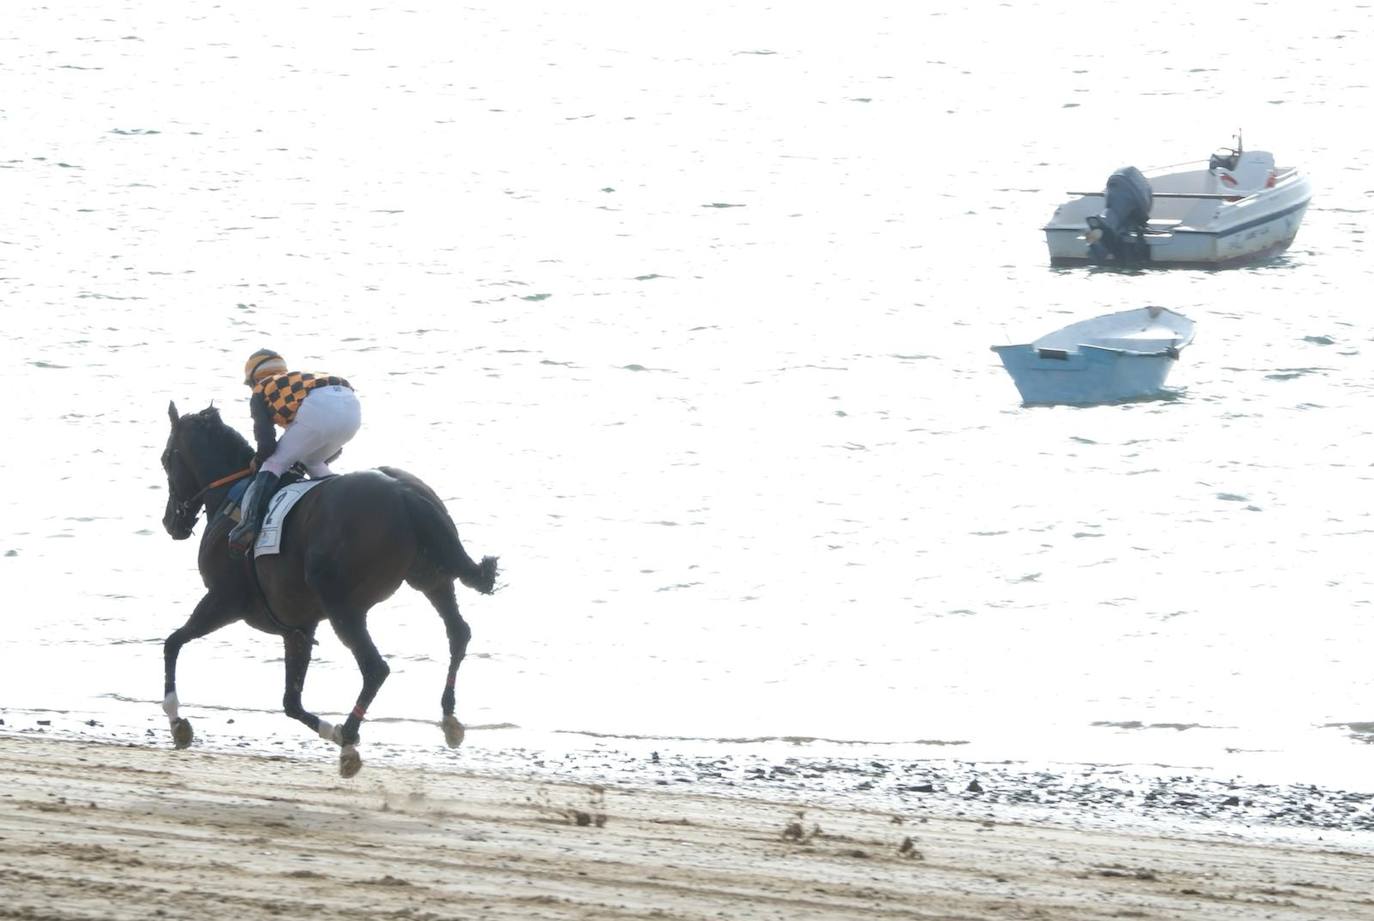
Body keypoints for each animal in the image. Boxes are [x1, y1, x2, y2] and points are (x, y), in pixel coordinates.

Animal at [159, 401, 498, 777]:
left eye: (165, 459)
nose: (170, 522)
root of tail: (404, 494)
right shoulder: (298, 628)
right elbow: (291, 702)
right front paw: (329, 730)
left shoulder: (222, 599)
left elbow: (172, 643)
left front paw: (177, 721)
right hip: (430, 578)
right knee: (458, 633)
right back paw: (448, 717)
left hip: (342, 604)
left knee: (376, 668)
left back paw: (349, 736)